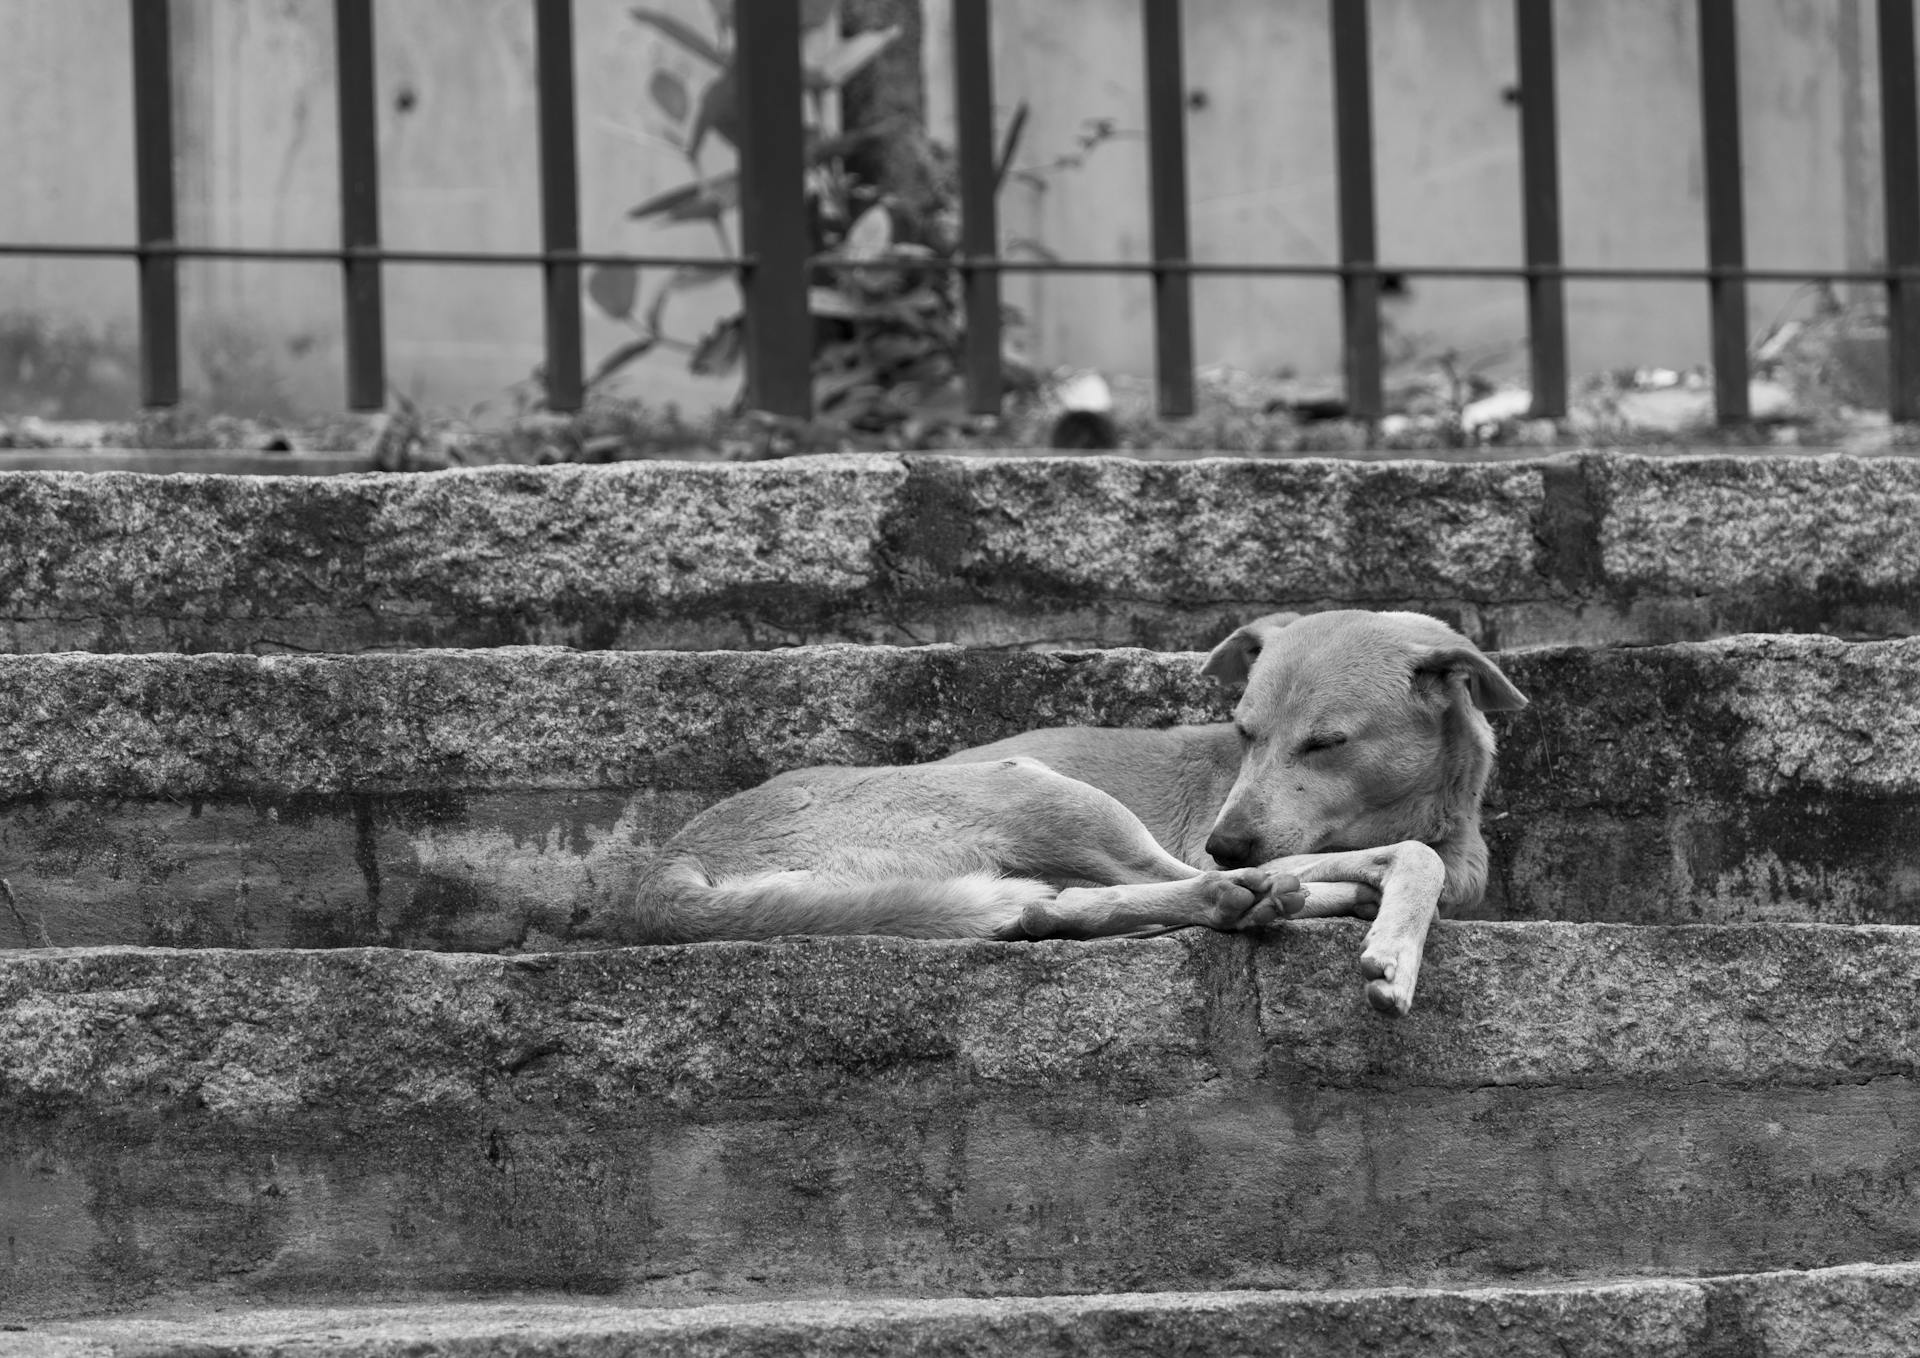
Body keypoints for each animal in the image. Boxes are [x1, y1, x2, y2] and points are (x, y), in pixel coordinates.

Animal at [618, 610, 1528, 1014]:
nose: (1227, 844)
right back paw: (1248, 899)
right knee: (1142, 889)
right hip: (1041, 790)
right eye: (1246, 731)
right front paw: (1394, 948)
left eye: (1326, 743)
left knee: (1066, 907)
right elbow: (1413, 859)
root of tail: (668, 864)